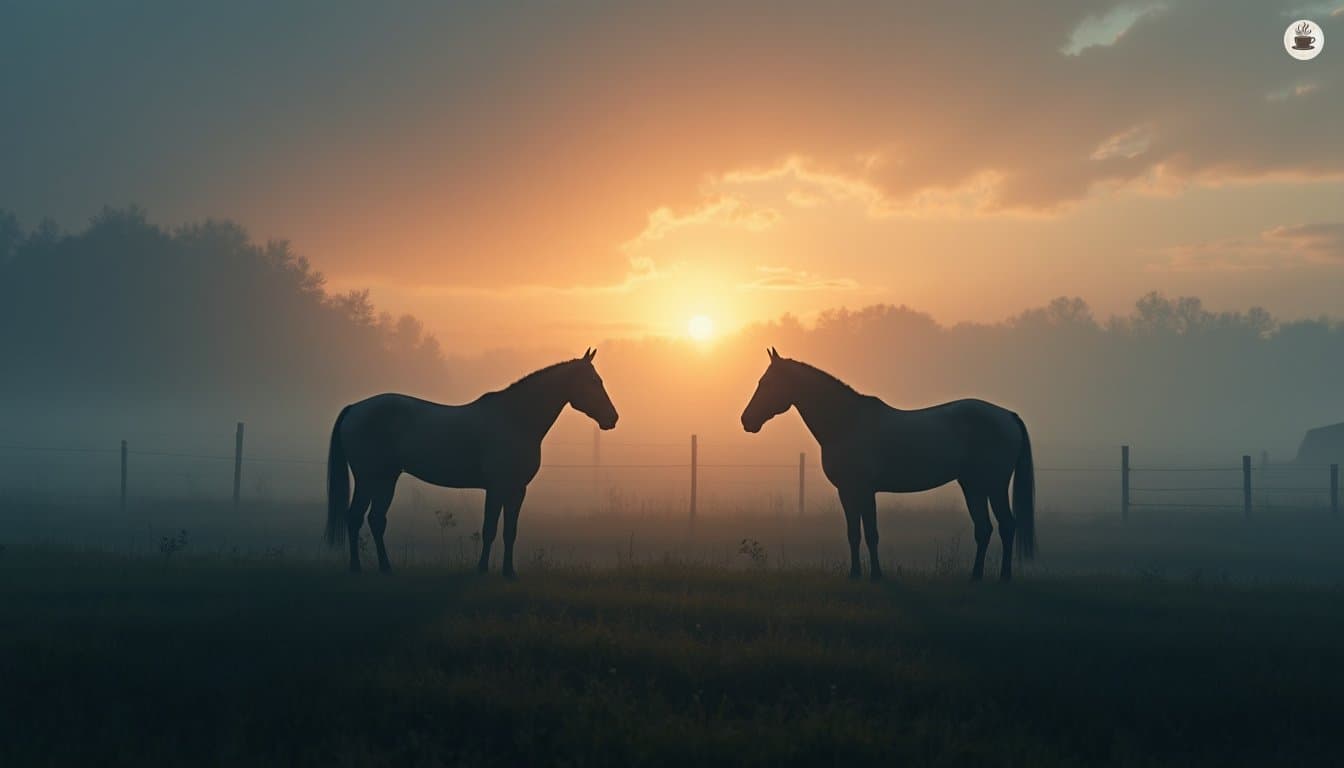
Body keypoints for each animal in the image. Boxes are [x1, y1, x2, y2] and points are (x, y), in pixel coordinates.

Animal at [326, 348, 618, 577]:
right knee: (357, 517)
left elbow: (509, 531)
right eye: (594, 381)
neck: (515, 420)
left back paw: (384, 567)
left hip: (386, 479)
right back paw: (358, 568)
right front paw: (482, 569)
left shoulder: (517, 490)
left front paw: (509, 572)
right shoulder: (497, 488)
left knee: (374, 519)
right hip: (369, 478)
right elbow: (490, 529)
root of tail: (355, 408)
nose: (612, 418)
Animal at [740, 348, 1034, 582]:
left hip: (994, 485)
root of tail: (1008, 415)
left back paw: (1004, 577)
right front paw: (855, 574)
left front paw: (877, 575)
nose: (746, 420)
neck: (846, 423)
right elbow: (853, 533)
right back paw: (975, 576)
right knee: (984, 529)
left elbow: (871, 533)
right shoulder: (847, 492)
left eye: (767, 383)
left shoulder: (865, 490)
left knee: (1007, 525)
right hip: (973, 486)